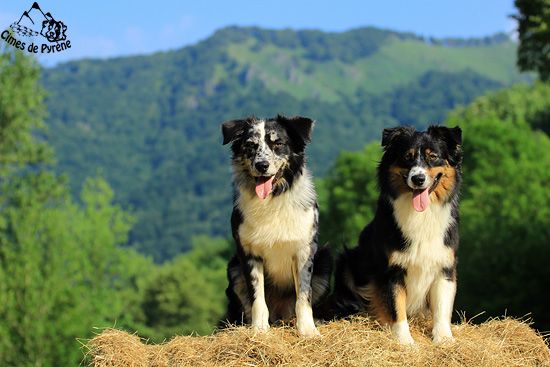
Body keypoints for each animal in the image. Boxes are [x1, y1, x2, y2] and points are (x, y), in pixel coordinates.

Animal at [220, 114, 332, 336]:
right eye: (250, 145)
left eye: (278, 143)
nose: (262, 165)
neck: (273, 199)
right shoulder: (248, 253)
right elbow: (257, 298)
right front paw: (259, 330)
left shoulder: (304, 251)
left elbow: (303, 296)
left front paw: (308, 331)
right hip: (234, 269)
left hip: (325, 261)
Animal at [334, 126, 464, 344]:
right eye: (407, 157)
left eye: (433, 157)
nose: (418, 179)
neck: (422, 215)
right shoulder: (391, 270)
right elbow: (396, 308)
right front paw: (405, 342)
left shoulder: (444, 265)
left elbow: (442, 307)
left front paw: (444, 339)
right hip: (347, 262)